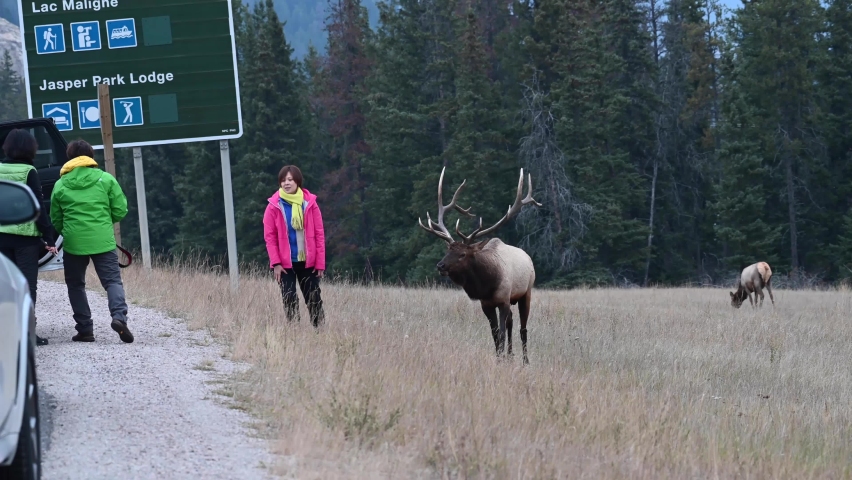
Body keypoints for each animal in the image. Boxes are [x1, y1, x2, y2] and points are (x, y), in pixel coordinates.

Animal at [418, 167, 542, 364]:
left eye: (462, 254)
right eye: (448, 250)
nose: (440, 266)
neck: (487, 285)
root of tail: (528, 257)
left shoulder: (503, 300)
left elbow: (501, 334)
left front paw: (501, 360)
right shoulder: (487, 304)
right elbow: (495, 334)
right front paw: (499, 358)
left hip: (526, 292)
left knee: (523, 328)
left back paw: (525, 360)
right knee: (511, 323)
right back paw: (510, 355)